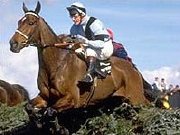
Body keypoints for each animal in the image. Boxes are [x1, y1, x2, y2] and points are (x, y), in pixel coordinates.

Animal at [9, 1, 150, 113]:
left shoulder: (71, 98)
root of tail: (133, 67)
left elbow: (50, 111)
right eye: (19, 22)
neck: (56, 65)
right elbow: (29, 107)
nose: (13, 44)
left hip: (136, 98)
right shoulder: (44, 97)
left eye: (31, 22)